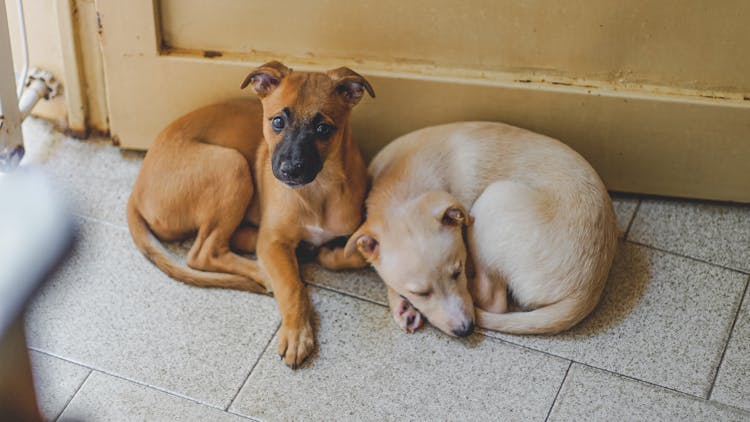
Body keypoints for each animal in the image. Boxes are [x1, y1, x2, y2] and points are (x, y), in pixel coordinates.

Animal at [131, 61, 376, 368]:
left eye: (322, 128)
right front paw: (297, 333)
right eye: (277, 122)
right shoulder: (273, 242)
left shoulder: (357, 229)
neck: (318, 190)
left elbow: (357, 255)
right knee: (203, 253)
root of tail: (136, 189)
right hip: (232, 165)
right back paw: (264, 271)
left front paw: (329, 255)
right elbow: (293, 287)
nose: (290, 170)